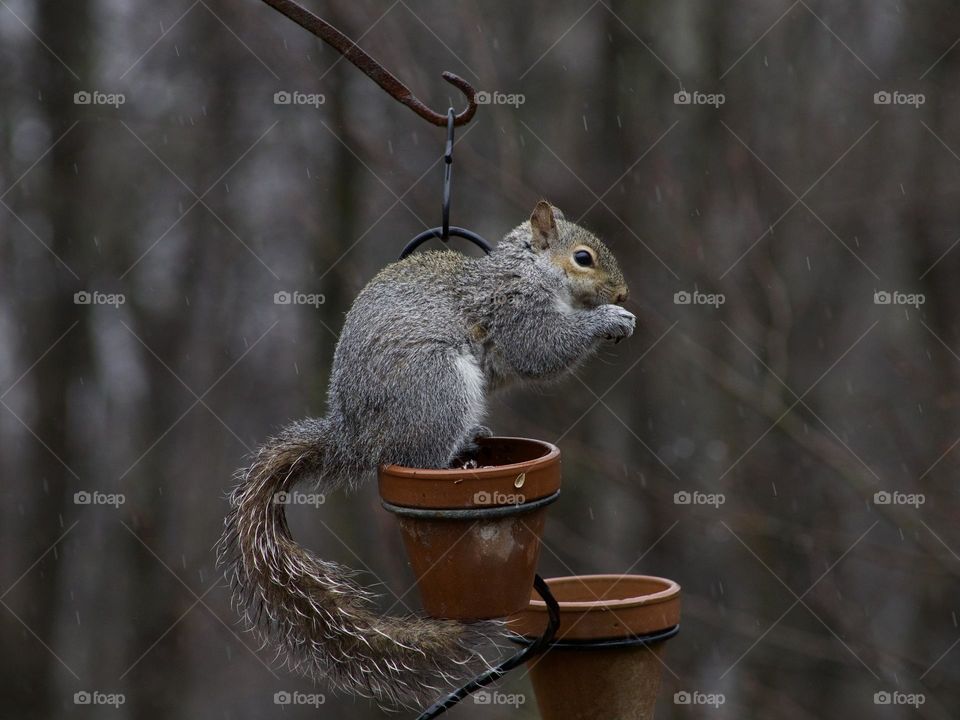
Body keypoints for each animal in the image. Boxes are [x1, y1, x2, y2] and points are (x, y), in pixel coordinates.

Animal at [218, 201, 635, 709]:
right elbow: (540, 350)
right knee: (423, 459)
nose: (624, 291)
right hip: (437, 384)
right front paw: (610, 319)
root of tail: (355, 439)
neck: (530, 270)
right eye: (583, 258)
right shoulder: (514, 311)